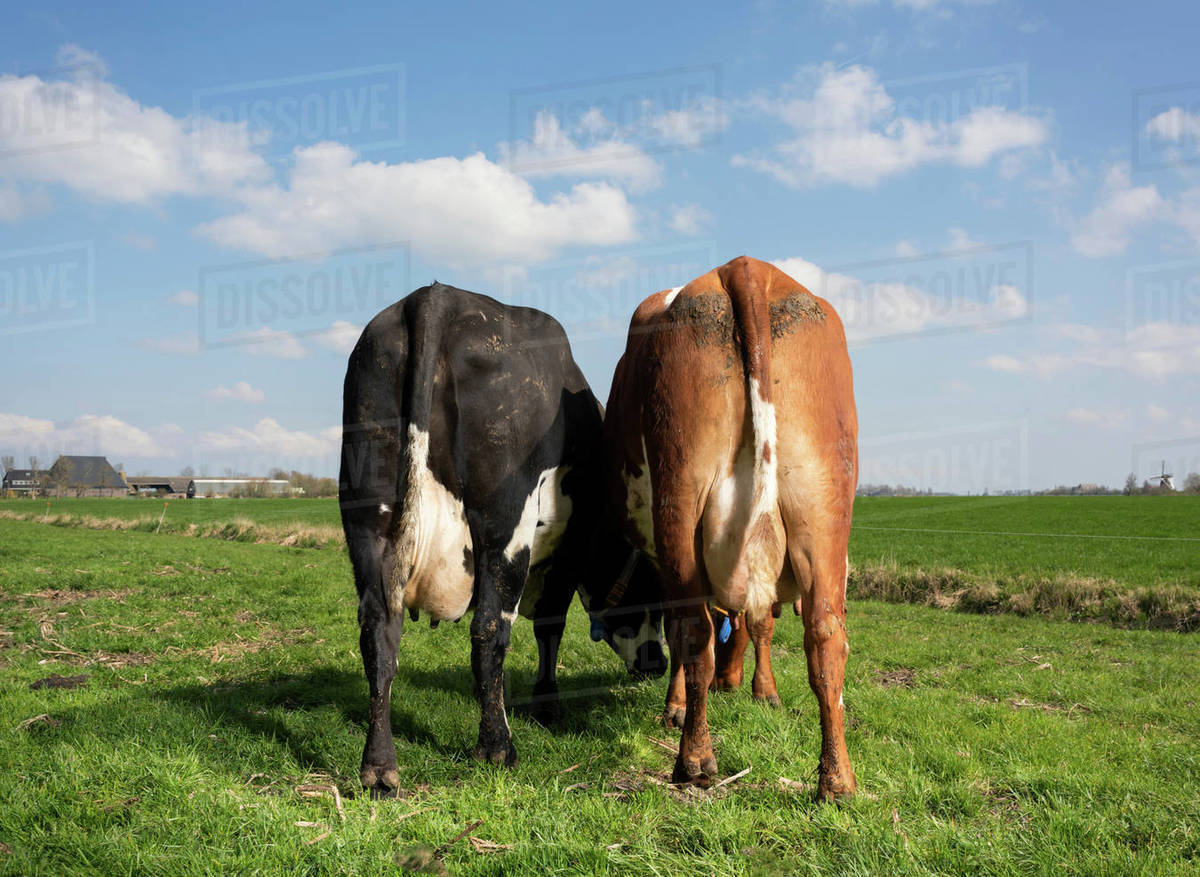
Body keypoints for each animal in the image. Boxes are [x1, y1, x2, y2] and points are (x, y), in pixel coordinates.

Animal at [339, 282, 665, 796]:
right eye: (652, 594)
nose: (658, 665)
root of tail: (433, 298)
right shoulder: (567, 549)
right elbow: (550, 626)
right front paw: (546, 706)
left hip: (367, 515)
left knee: (378, 631)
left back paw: (379, 766)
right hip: (505, 521)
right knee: (489, 629)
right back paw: (497, 748)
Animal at [602, 256, 858, 801]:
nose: (731, 683)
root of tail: (745, 268)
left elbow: (680, 629)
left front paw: (676, 708)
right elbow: (760, 622)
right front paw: (765, 692)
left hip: (680, 498)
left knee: (693, 629)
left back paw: (694, 760)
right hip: (825, 510)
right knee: (826, 634)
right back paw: (836, 780)